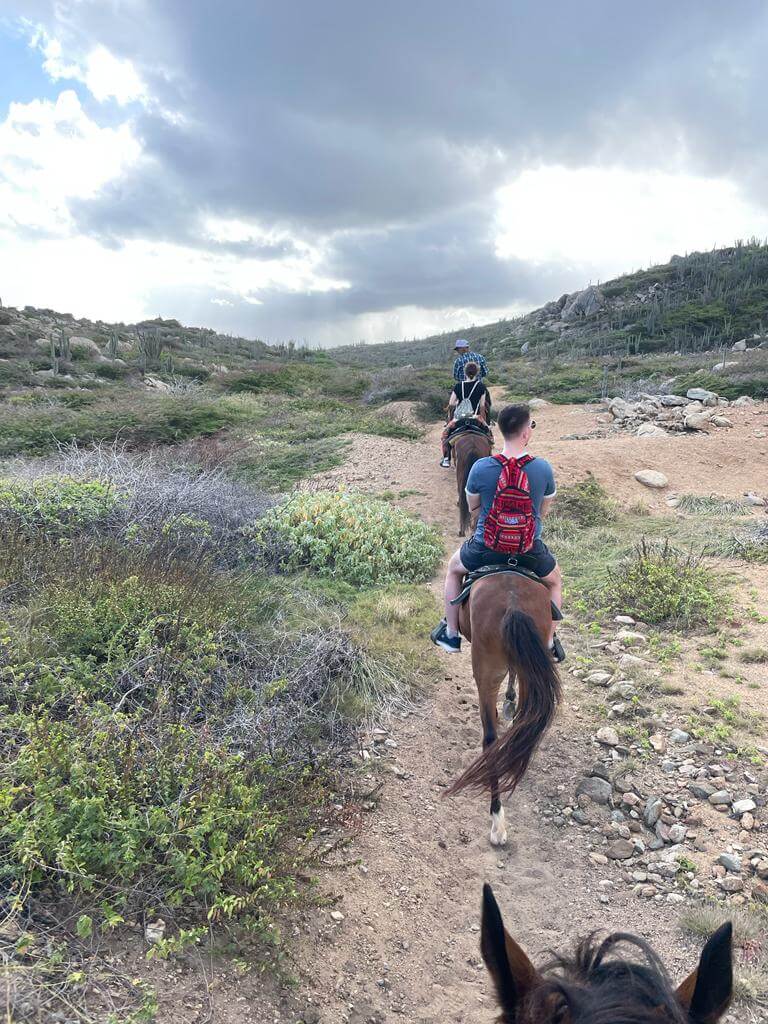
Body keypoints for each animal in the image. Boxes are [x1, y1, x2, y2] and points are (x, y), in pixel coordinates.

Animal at [448, 573, 561, 843]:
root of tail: (513, 604)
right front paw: (509, 701)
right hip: (528, 674)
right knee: (522, 721)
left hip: (486, 671)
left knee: (490, 739)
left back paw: (497, 818)